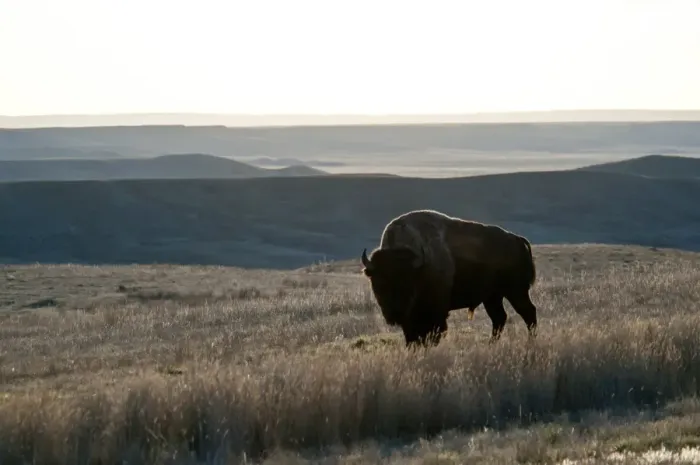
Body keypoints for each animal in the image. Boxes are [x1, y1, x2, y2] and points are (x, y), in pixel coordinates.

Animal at [361, 209, 537, 347]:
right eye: (378, 281)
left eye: (407, 281)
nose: (394, 313)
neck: (420, 268)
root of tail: (517, 239)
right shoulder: (410, 318)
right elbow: (412, 336)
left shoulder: (434, 312)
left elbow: (432, 334)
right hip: (492, 297)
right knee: (499, 318)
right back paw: (491, 344)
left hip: (516, 291)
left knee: (528, 312)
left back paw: (530, 342)